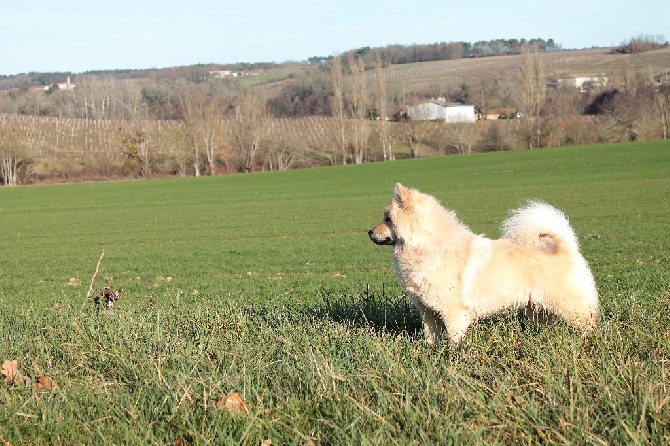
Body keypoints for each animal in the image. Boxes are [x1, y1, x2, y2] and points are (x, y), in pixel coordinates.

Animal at [370, 183, 600, 346]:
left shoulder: (454, 313)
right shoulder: (428, 312)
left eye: (387, 219)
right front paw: (430, 353)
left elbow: (454, 340)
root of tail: (565, 245)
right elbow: (430, 337)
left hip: (568, 305)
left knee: (588, 325)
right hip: (537, 308)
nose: (370, 232)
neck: (428, 246)